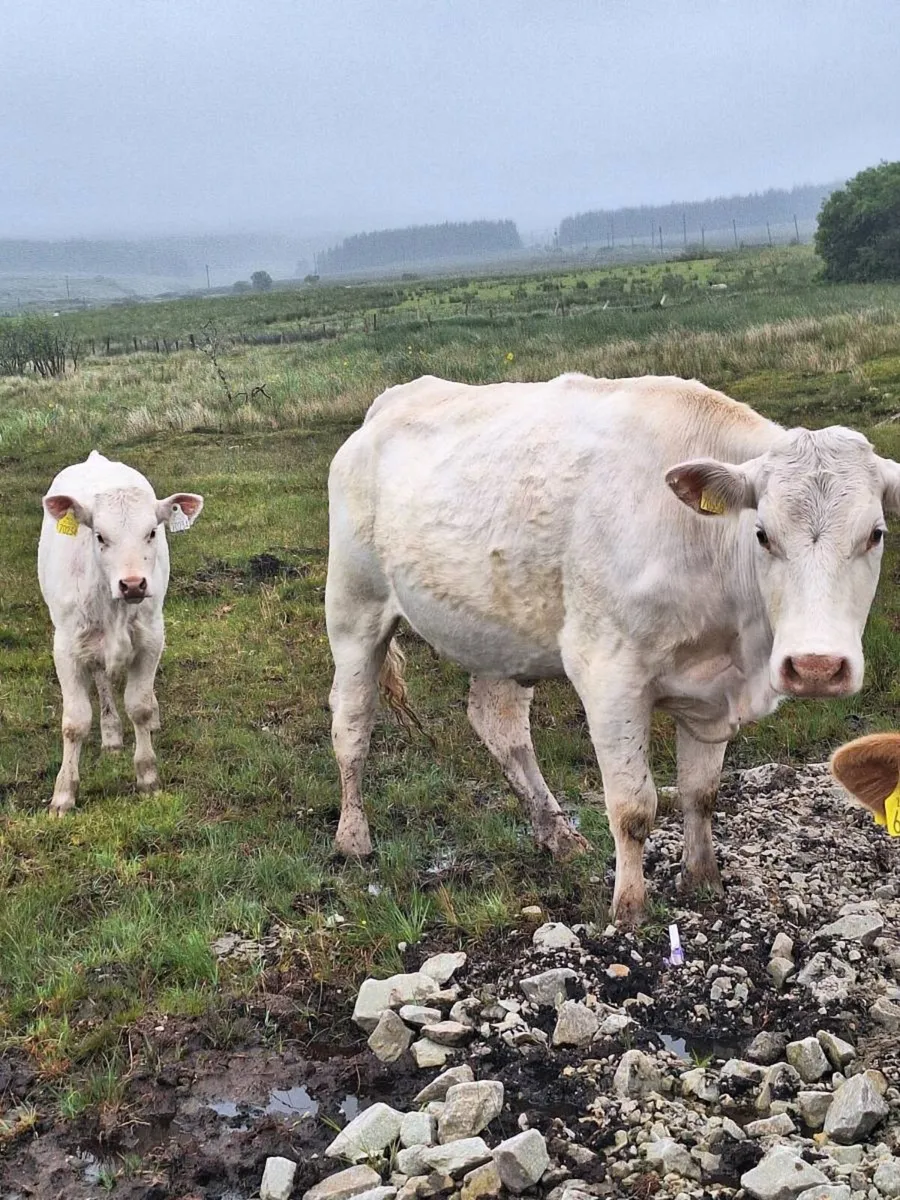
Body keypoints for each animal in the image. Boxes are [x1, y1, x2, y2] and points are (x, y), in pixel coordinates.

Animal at [38, 450, 203, 815]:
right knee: (101, 681)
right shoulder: (66, 648)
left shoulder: (151, 638)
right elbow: (74, 722)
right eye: (100, 536)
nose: (132, 584)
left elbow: (138, 706)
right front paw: (63, 794)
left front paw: (148, 777)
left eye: (152, 532)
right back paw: (111, 734)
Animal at [324, 373, 900, 924]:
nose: (816, 666)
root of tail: (395, 398)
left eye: (875, 534)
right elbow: (633, 807)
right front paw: (629, 907)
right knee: (352, 723)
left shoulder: (713, 690)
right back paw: (353, 837)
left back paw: (557, 834)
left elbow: (701, 793)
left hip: (497, 635)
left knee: (499, 725)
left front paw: (703, 879)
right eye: (761, 533)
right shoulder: (609, 677)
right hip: (353, 608)